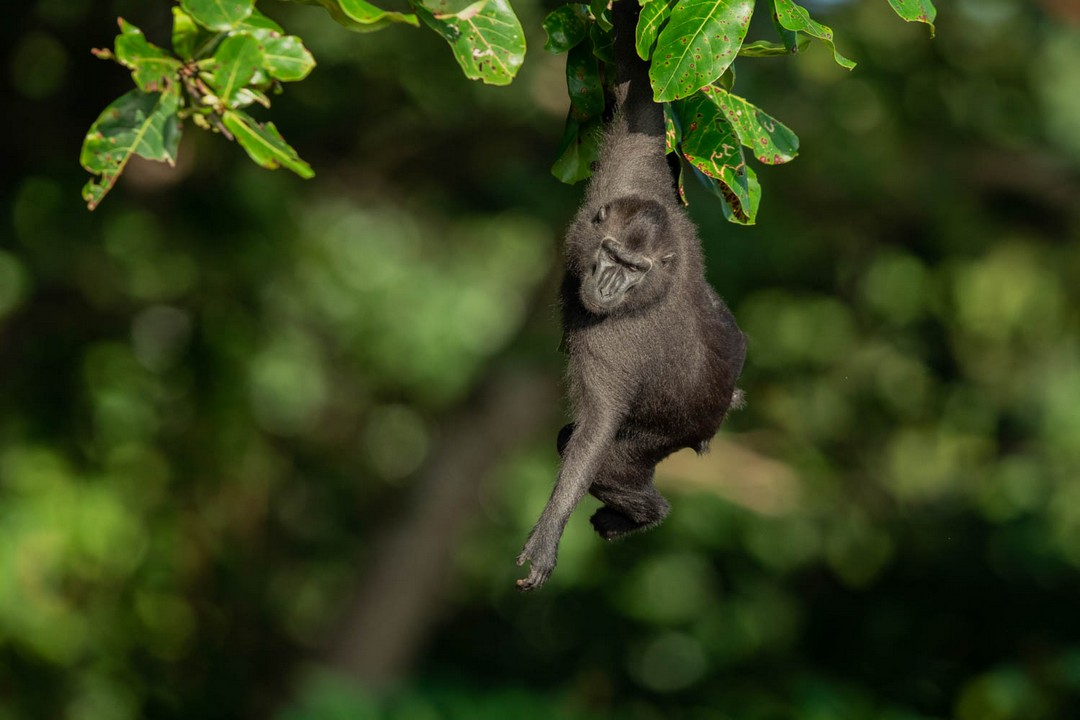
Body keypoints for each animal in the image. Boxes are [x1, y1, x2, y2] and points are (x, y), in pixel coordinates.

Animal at [514, 0, 743, 591]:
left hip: (668, 430)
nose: (609, 285)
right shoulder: (626, 176)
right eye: (612, 255)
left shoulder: (611, 341)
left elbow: (593, 433)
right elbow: (640, 101)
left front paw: (546, 536)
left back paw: (640, 515)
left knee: (597, 452)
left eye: (633, 270)